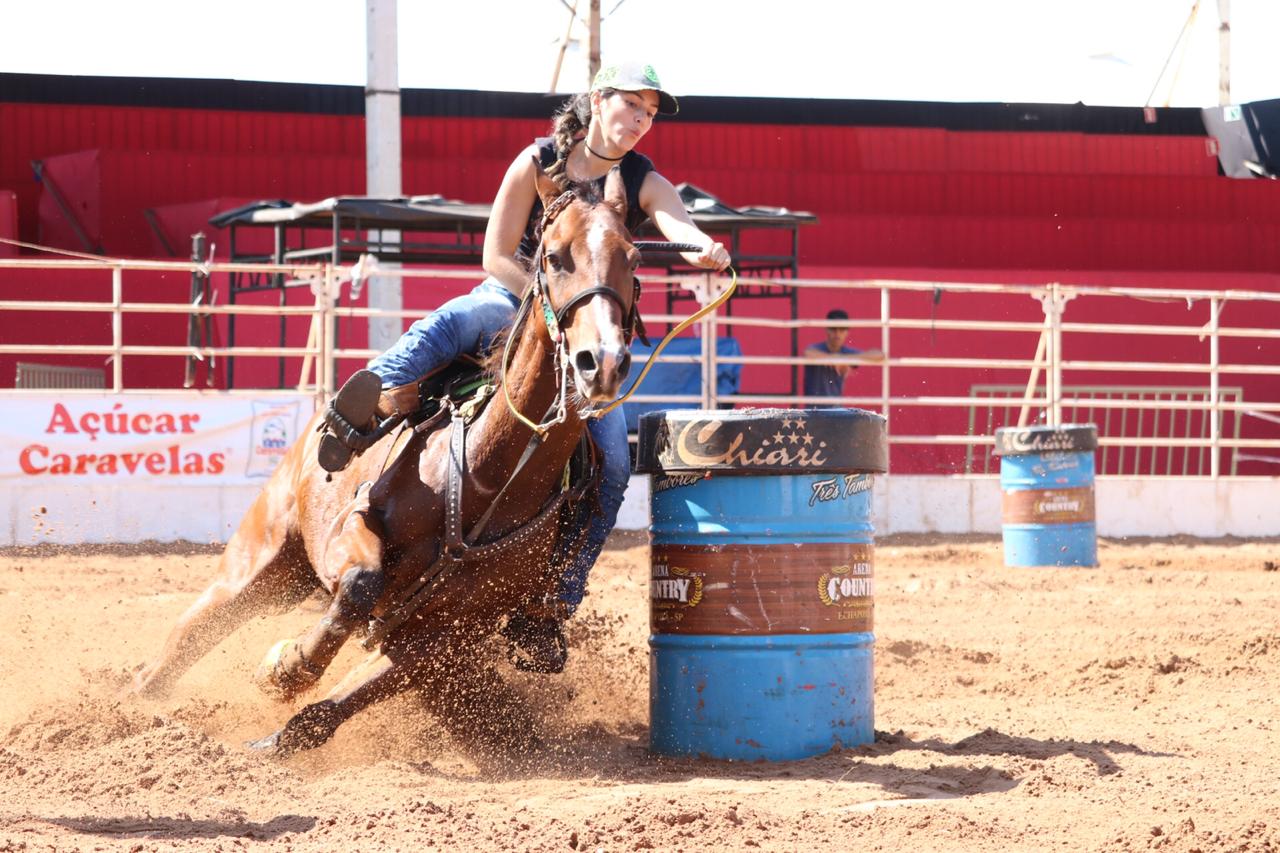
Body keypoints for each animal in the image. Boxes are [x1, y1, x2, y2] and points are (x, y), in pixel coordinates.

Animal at [132, 162, 640, 753]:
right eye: (555, 256)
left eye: (633, 258)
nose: (601, 361)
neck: (489, 478)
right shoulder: (353, 525)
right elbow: (359, 584)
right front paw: (286, 667)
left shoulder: (436, 639)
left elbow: (324, 716)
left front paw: (281, 714)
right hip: (262, 557)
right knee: (186, 636)